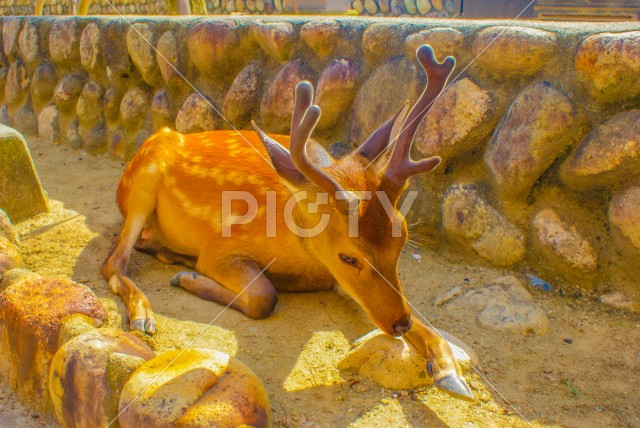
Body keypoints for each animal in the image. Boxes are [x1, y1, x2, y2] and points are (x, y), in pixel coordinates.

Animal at [102, 45, 472, 400]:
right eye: (348, 256)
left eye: (403, 239)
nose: (399, 324)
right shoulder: (221, 247)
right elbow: (264, 296)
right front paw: (190, 280)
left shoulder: (337, 278)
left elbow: (424, 319)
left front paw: (449, 370)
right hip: (142, 183)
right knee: (114, 260)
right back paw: (145, 314)